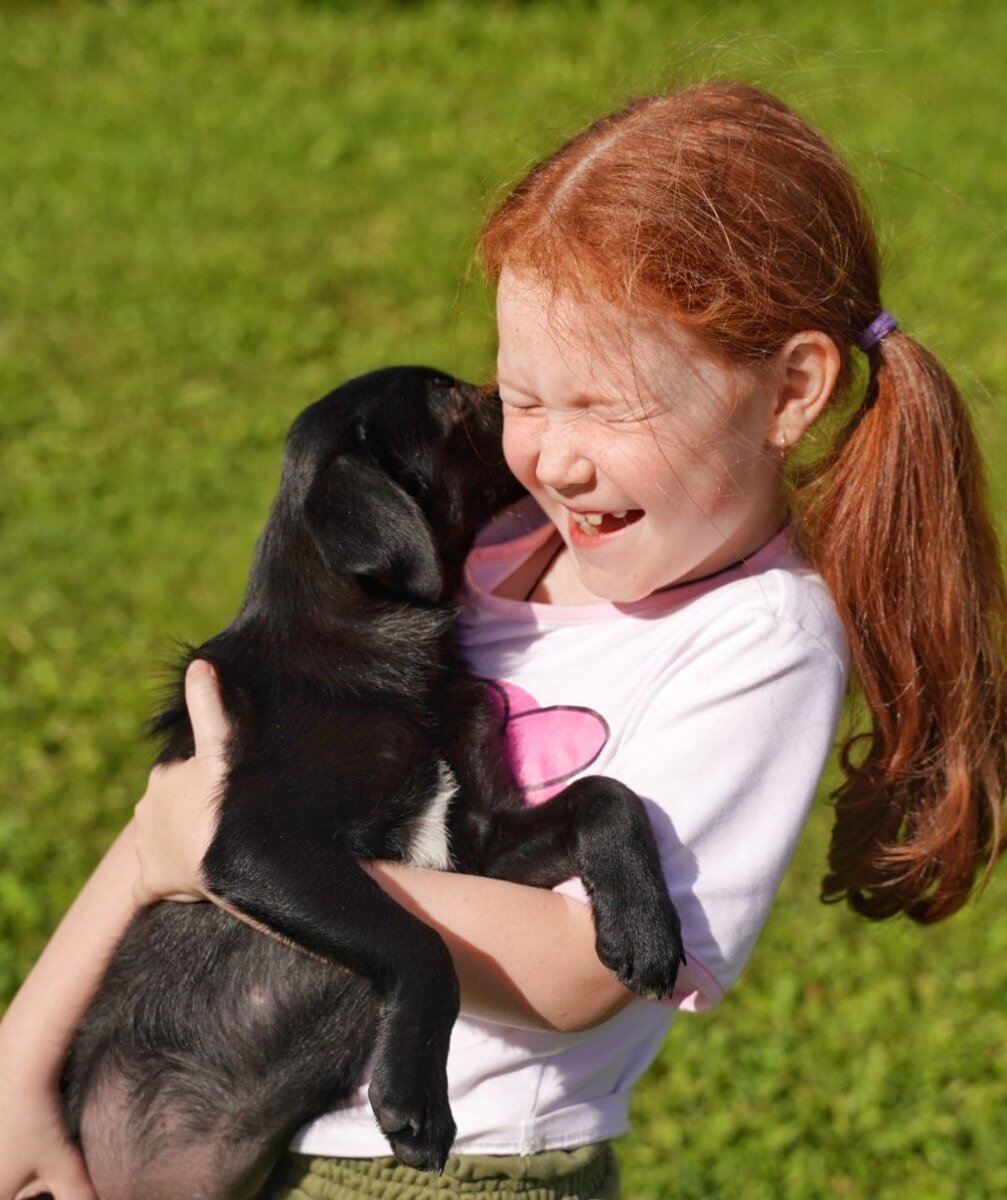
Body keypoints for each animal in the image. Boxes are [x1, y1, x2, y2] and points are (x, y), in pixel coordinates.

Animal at [65, 364, 686, 1200]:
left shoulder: (474, 844)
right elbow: (420, 943)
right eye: (451, 399)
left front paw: (645, 929)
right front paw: (415, 1099)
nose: (528, 405)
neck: (381, 653)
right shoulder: (260, 845)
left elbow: (607, 794)